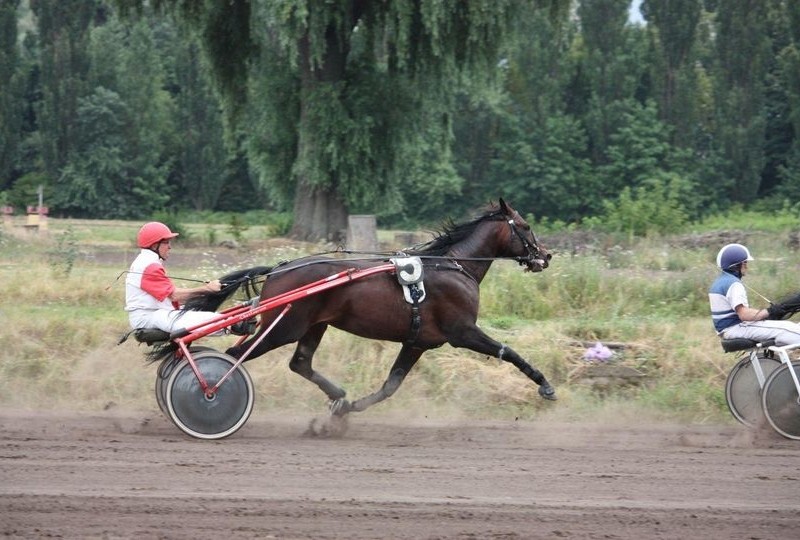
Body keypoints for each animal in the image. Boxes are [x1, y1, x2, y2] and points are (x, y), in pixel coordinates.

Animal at [187, 198, 552, 414]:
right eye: (526, 226)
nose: (545, 255)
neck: (454, 266)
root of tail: (278, 269)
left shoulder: (417, 342)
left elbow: (391, 385)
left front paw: (347, 409)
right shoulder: (462, 331)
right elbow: (509, 351)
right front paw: (545, 385)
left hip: (314, 325)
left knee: (300, 363)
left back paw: (337, 394)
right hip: (285, 327)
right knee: (234, 356)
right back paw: (210, 392)